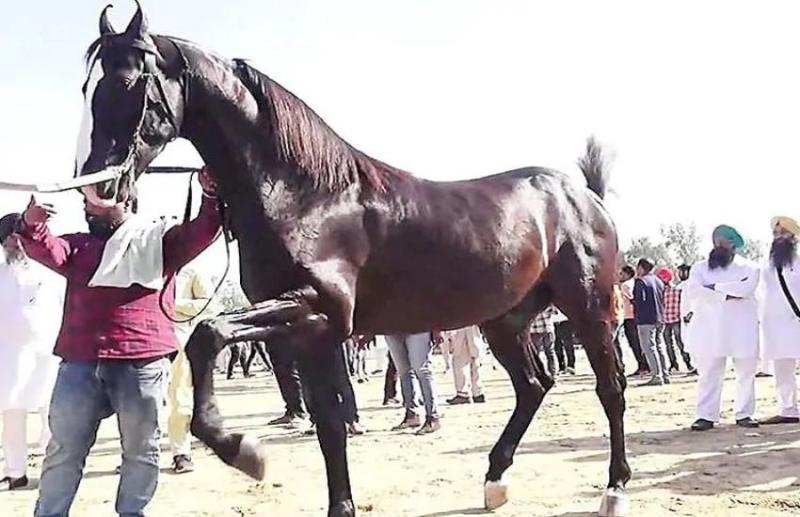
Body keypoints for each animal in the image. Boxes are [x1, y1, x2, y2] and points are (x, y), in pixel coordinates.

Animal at [73, 3, 629, 516]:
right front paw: (336, 502)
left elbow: (208, 334)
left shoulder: (317, 309)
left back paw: (614, 488)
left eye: (127, 82)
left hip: (589, 308)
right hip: (505, 320)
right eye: (89, 89)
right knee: (534, 386)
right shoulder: (310, 333)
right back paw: (495, 480)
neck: (305, 196)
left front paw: (241, 450)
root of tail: (582, 194)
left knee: (610, 387)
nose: (99, 195)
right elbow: (329, 427)